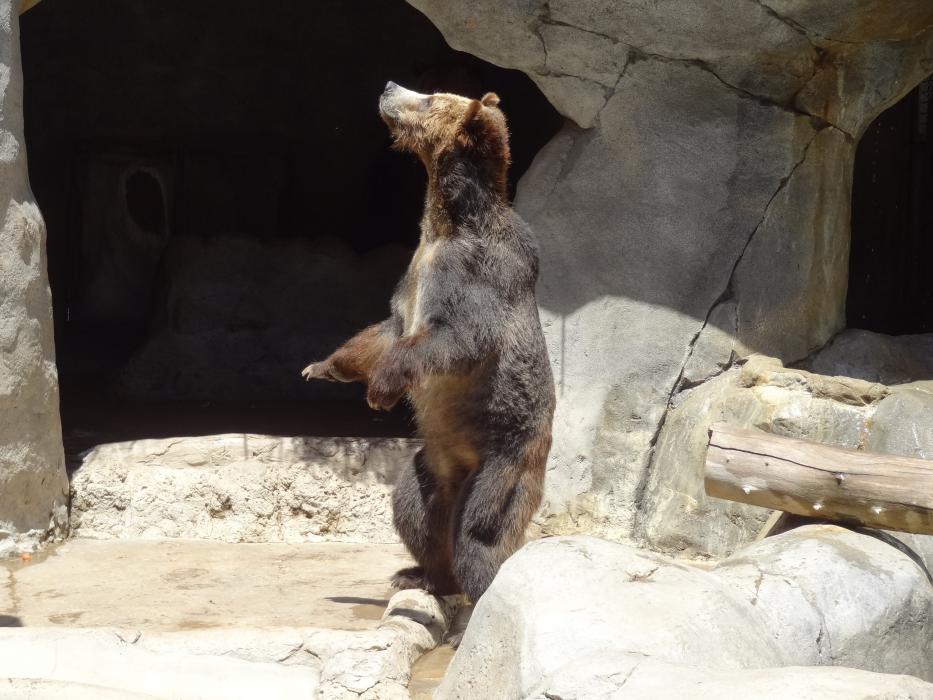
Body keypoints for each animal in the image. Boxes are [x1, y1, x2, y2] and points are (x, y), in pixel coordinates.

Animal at [302, 81, 555, 606]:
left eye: (431, 98)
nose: (388, 86)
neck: (444, 224)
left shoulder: (474, 273)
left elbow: (455, 339)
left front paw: (380, 391)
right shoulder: (413, 276)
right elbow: (386, 331)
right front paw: (322, 366)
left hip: (507, 459)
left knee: (481, 530)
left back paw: (477, 586)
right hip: (431, 464)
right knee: (416, 509)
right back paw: (420, 574)